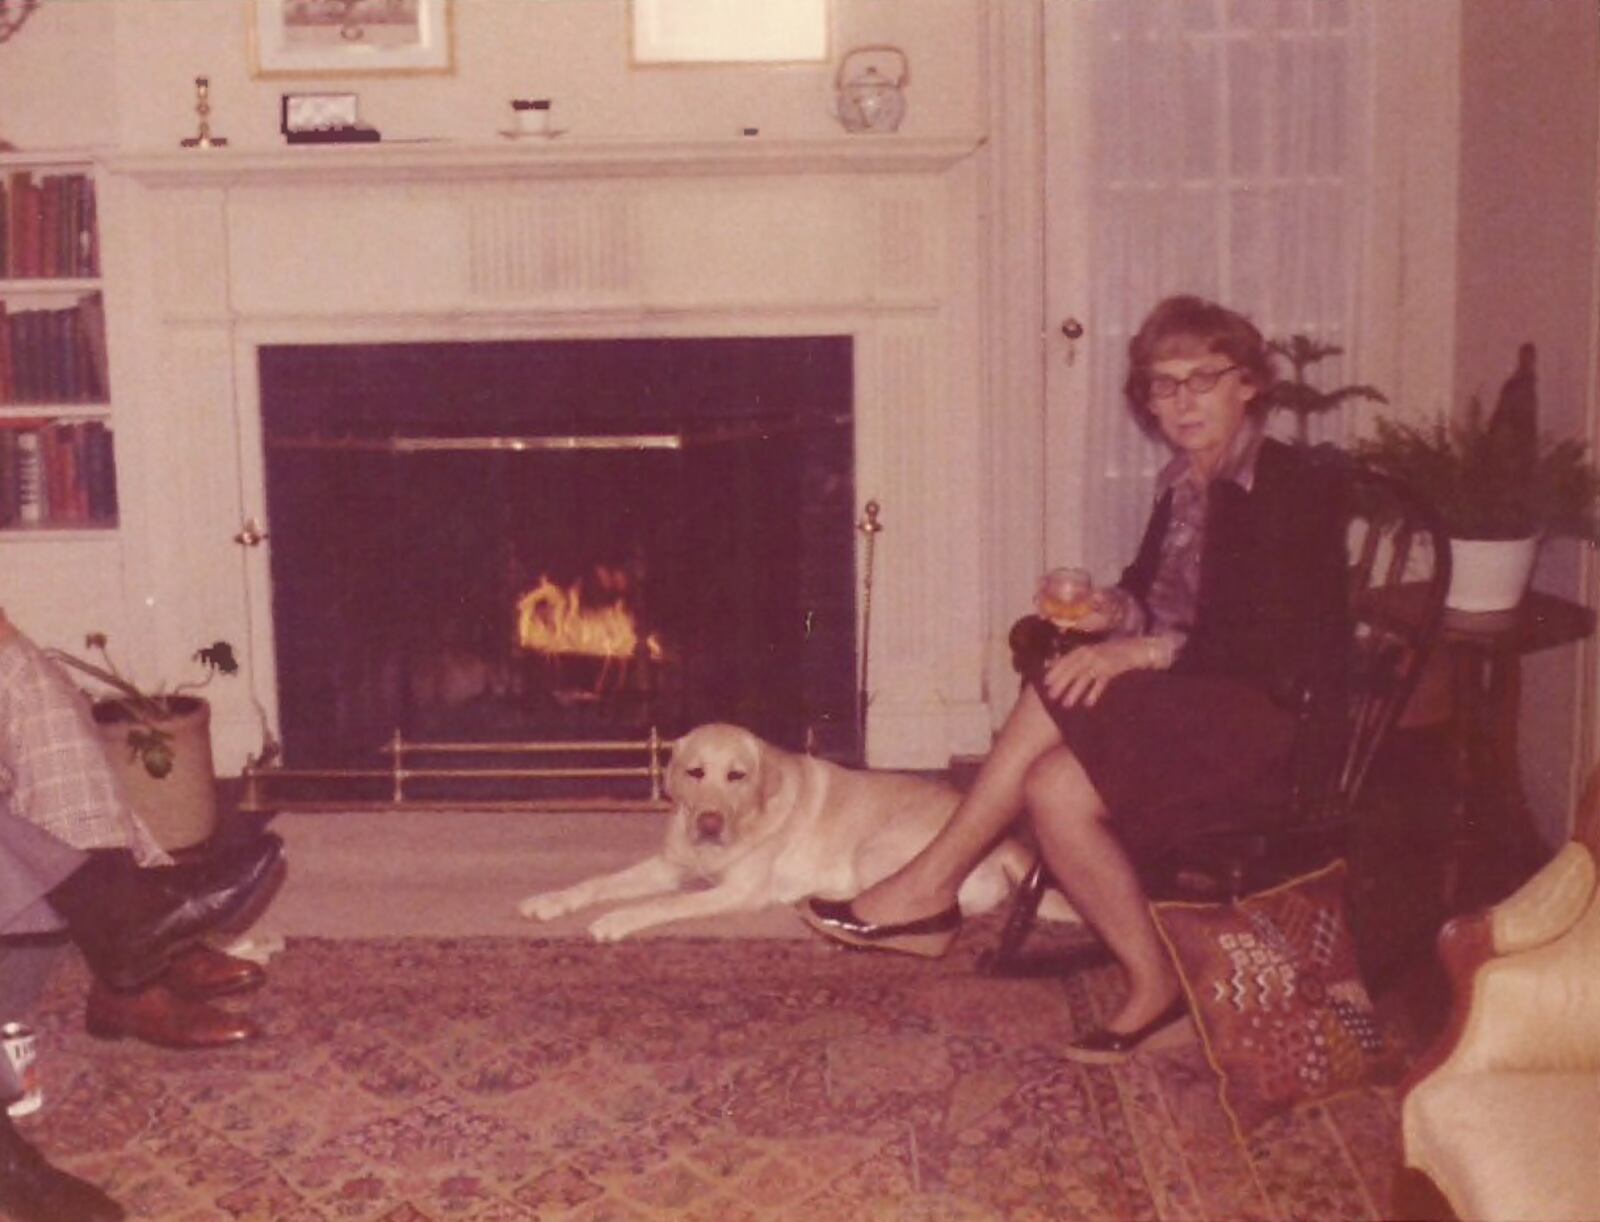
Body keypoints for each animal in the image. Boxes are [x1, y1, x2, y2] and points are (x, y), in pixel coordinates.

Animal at [518, 719, 1068, 940]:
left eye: (737, 776)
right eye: (695, 772)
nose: (709, 822)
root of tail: (1005, 841)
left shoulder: (736, 892)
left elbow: (662, 904)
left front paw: (618, 919)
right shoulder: (671, 865)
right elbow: (599, 883)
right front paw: (551, 901)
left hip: (878, 851)